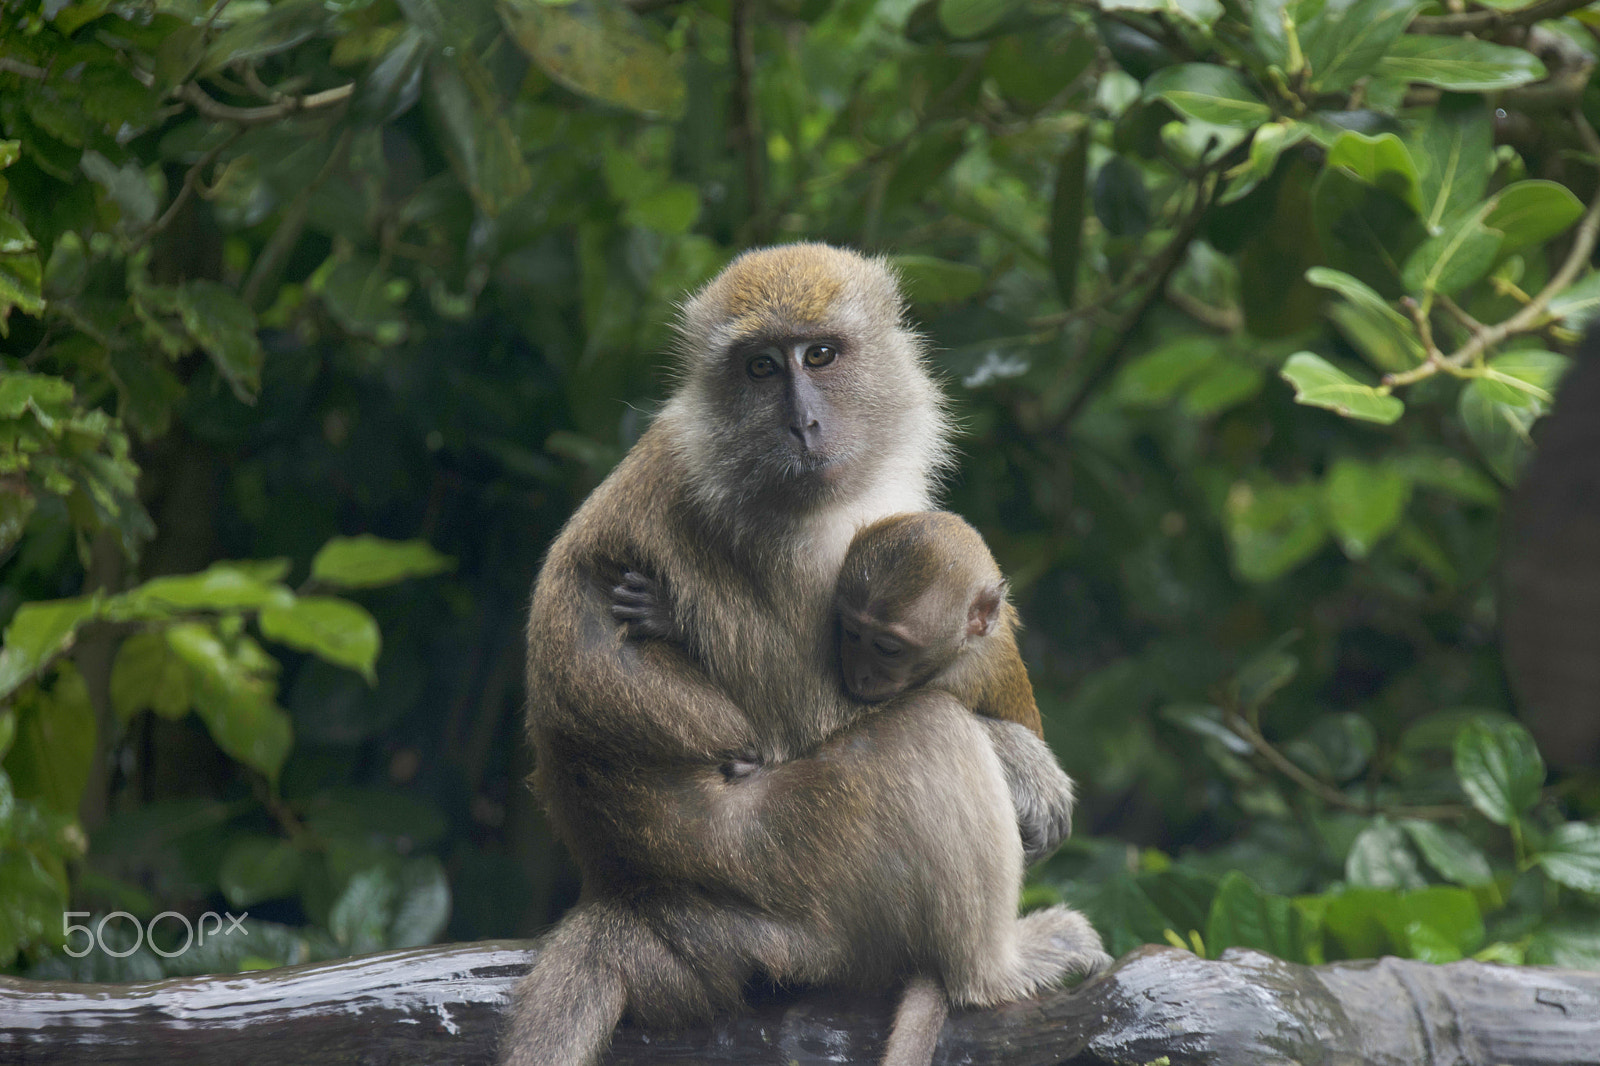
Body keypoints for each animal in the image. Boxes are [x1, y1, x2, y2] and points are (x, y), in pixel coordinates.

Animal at [505, 244, 1108, 1066]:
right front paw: (1026, 765)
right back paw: (994, 969)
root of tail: (636, 897)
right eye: (761, 368)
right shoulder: (793, 555)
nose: (803, 423)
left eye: (819, 355)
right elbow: (812, 727)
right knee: (927, 735)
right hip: (801, 875)